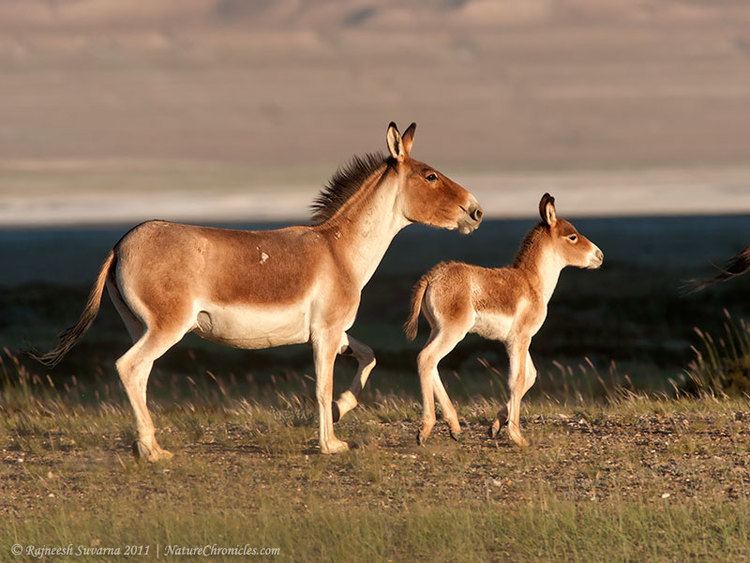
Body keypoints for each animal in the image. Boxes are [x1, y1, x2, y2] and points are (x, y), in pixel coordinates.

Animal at [406, 196, 604, 448]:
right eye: (572, 236)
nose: (600, 256)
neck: (531, 283)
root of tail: (433, 276)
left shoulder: (519, 340)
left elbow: (530, 376)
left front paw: (495, 427)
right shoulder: (520, 339)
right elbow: (516, 380)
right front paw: (517, 436)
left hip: (438, 330)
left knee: (431, 363)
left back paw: (454, 428)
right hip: (452, 332)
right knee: (426, 358)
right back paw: (425, 430)